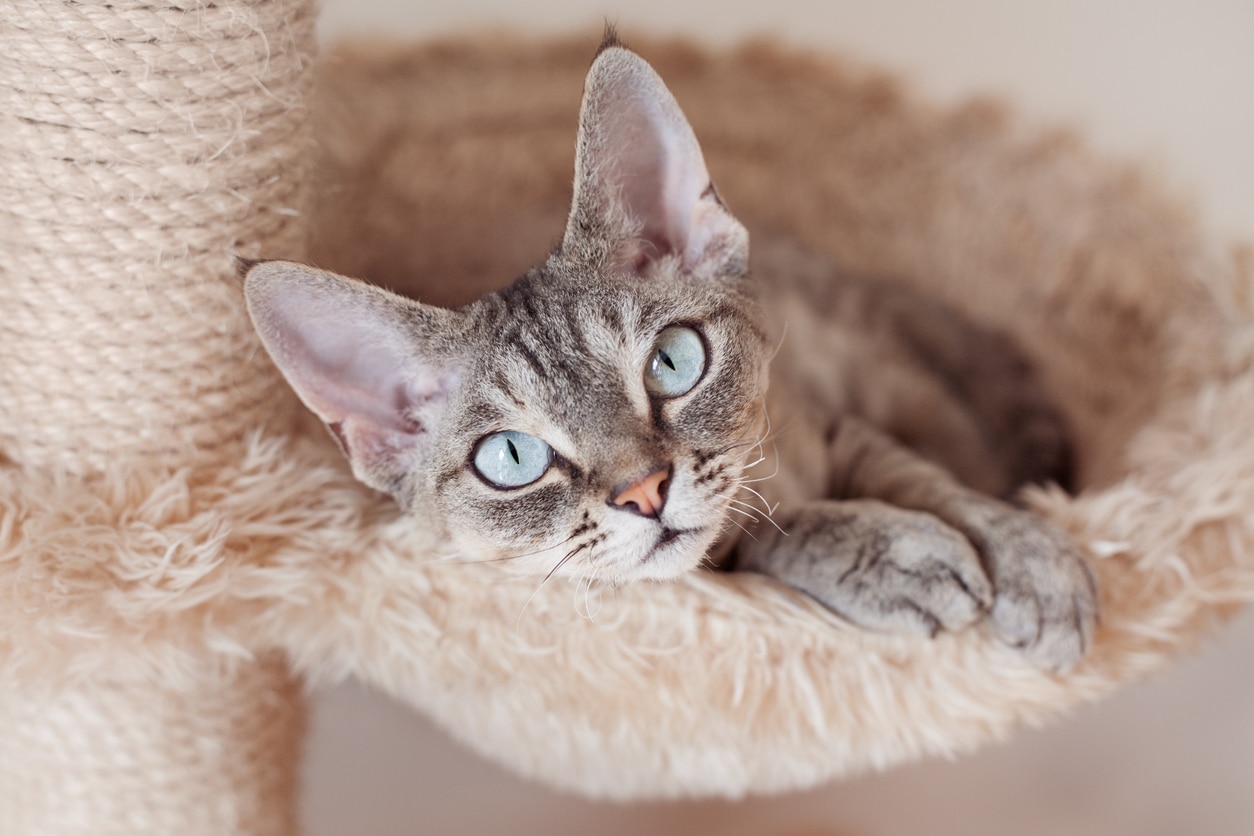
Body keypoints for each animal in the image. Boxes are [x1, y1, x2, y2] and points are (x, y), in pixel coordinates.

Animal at [242, 34, 1098, 671]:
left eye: (673, 363)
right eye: (513, 458)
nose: (645, 492)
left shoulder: (834, 421)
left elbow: (935, 483)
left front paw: (1031, 559)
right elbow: (768, 533)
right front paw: (889, 555)